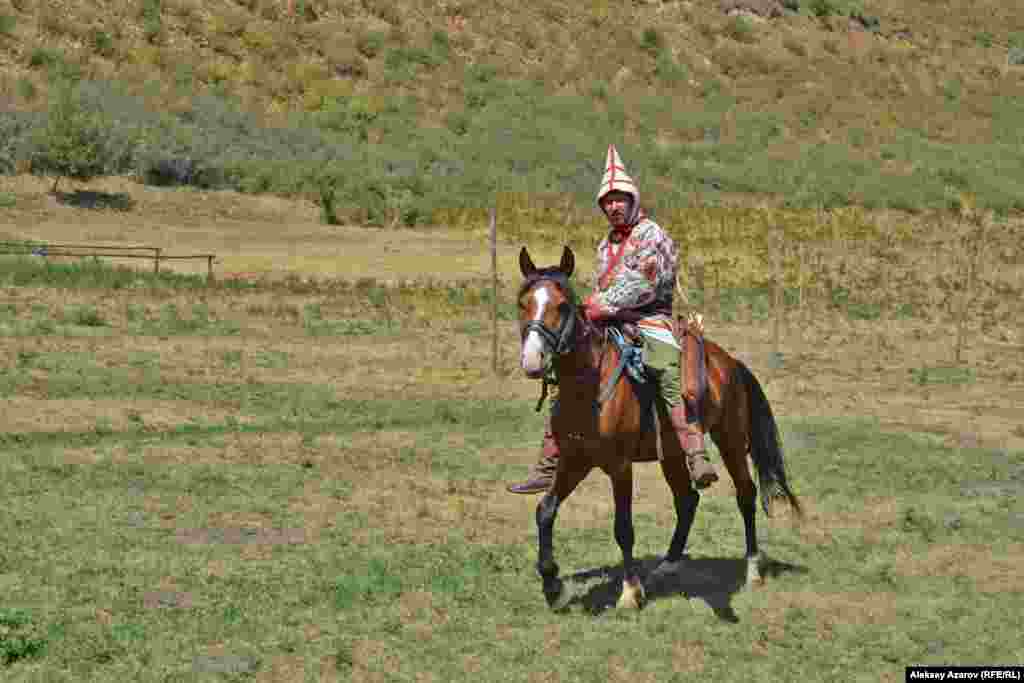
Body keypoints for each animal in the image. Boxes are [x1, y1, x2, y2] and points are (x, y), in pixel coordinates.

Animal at [520, 245, 798, 610]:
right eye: (522, 303)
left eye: (562, 305)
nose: (532, 360)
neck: (589, 386)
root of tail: (731, 363)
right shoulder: (575, 460)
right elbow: (545, 510)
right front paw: (552, 584)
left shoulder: (619, 466)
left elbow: (623, 527)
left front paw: (629, 592)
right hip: (674, 453)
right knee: (688, 499)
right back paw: (667, 565)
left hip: (731, 440)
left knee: (745, 494)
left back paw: (752, 570)